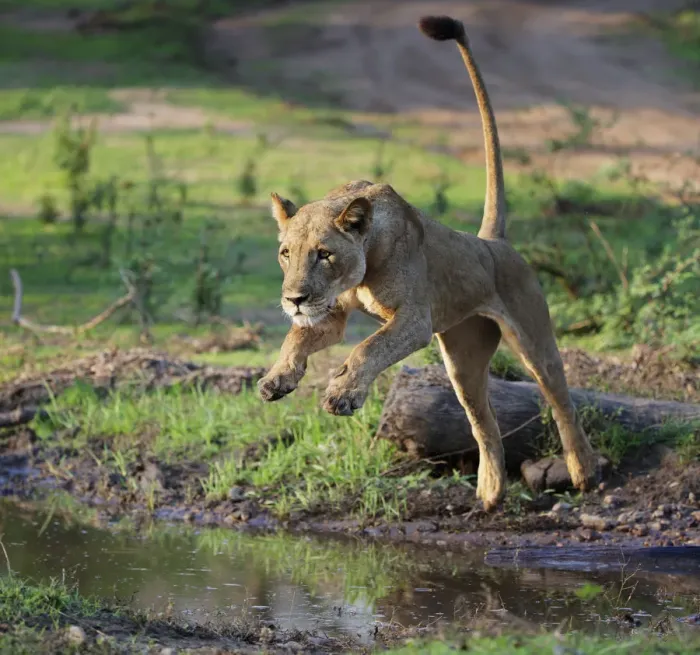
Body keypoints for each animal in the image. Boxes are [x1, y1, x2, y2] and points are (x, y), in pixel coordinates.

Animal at [258, 15, 598, 510]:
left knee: (562, 402)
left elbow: (368, 348)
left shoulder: (414, 319)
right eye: (286, 254)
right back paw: (490, 492)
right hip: (463, 362)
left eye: (324, 254)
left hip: (534, 340)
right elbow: (295, 339)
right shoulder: (331, 314)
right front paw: (277, 379)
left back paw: (583, 472)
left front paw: (342, 395)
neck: (359, 272)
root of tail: (492, 242)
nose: (294, 299)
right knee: (484, 423)